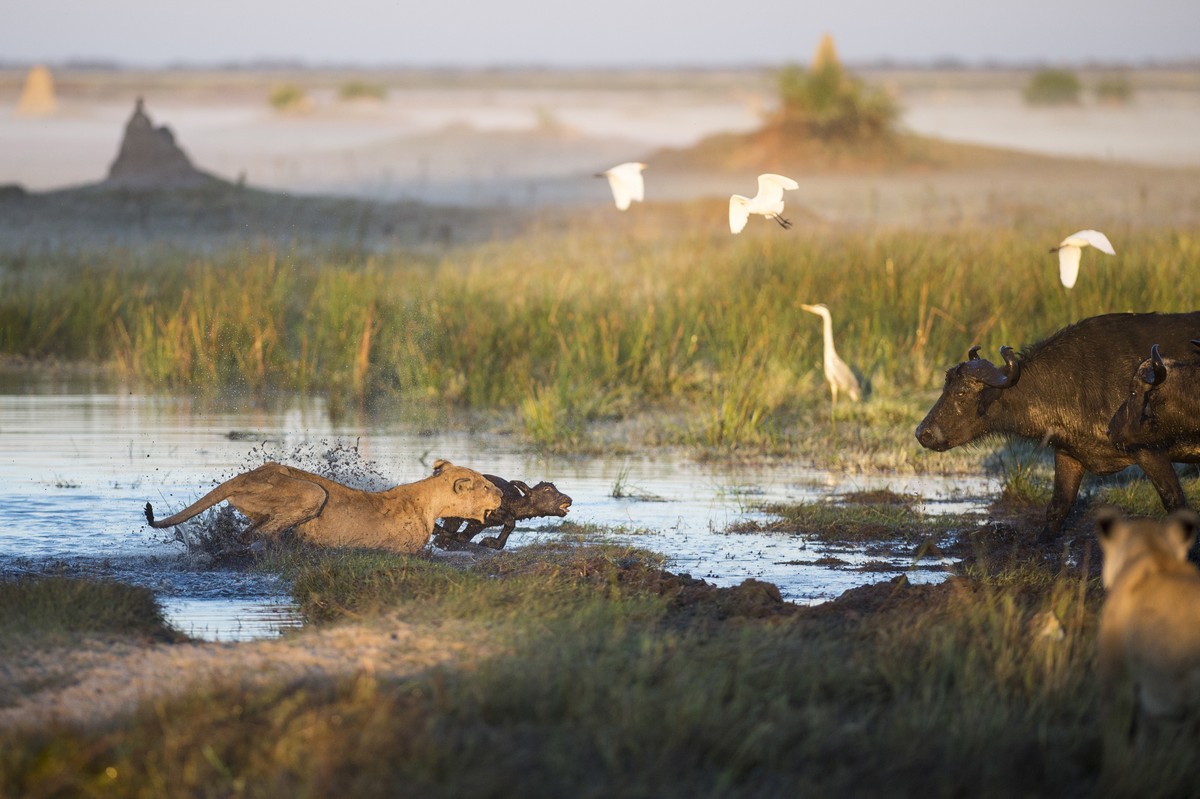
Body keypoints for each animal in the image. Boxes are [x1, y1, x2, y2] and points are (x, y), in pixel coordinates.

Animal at [912, 311, 1200, 542]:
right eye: (945, 387)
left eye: (961, 392)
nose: (923, 433)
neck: (1077, 381)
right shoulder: (1068, 454)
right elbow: (1058, 506)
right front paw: (1041, 543)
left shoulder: (1150, 451)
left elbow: (1175, 502)